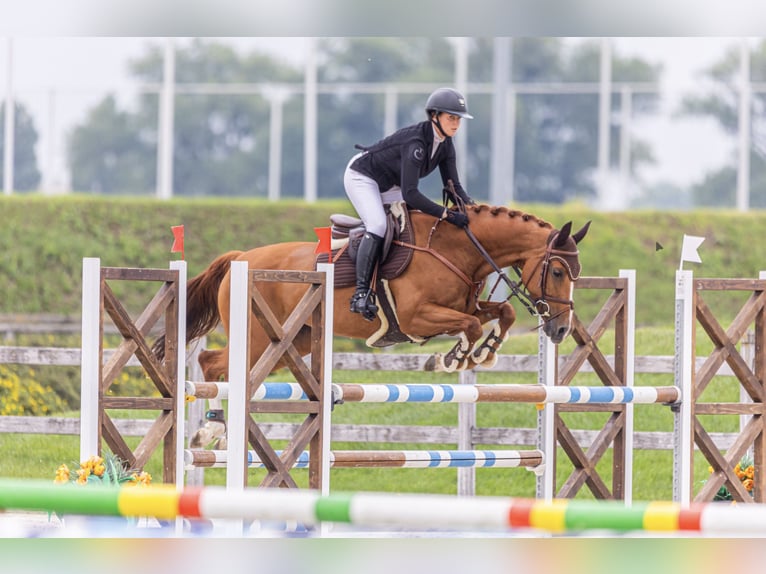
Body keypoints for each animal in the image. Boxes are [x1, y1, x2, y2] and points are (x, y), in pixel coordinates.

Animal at [154, 203, 590, 447]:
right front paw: (452, 359)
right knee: (211, 364)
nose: (560, 330)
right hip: (259, 340)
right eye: (555, 271)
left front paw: (483, 352)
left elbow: (501, 314)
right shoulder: (417, 317)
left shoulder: (463, 305)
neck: (457, 248)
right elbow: (468, 325)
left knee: (219, 364)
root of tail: (240, 257)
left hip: (292, 343)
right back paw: (213, 430)